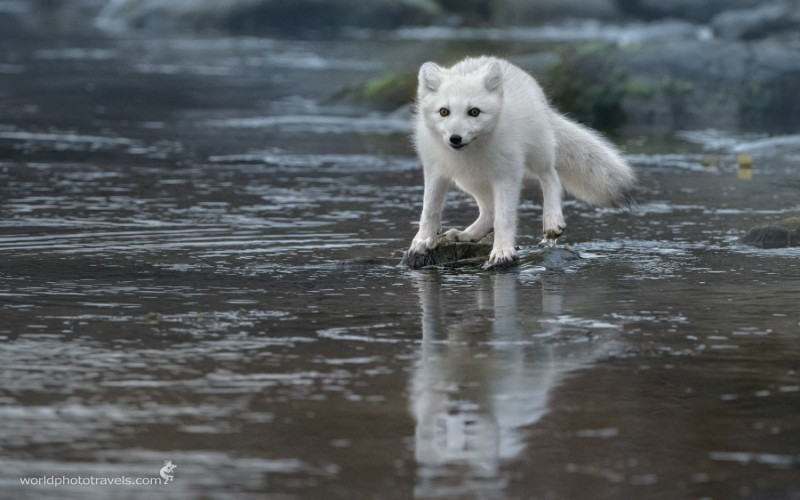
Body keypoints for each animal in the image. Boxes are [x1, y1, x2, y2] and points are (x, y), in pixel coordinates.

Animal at [410, 55, 636, 266]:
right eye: (444, 112)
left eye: (474, 112)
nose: (455, 138)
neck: (471, 153)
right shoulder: (435, 172)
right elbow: (429, 210)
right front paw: (422, 241)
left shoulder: (507, 175)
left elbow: (504, 218)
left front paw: (503, 251)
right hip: (467, 180)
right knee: (488, 210)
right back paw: (467, 235)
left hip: (538, 154)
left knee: (551, 177)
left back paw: (552, 220)